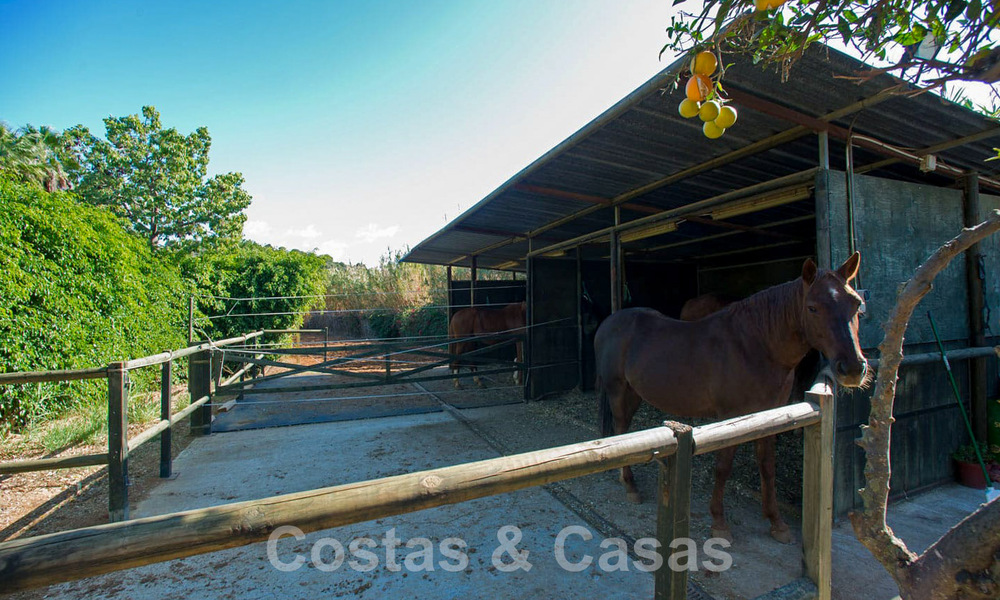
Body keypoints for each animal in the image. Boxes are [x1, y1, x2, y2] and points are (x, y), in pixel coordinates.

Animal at [592, 253, 868, 544]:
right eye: (813, 308)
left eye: (856, 304)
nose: (852, 368)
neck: (755, 346)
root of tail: (609, 323)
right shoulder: (730, 416)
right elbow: (723, 467)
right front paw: (719, 522)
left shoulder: (771, 415)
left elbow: (767, 466)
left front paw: (777, 523)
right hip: (618, 389)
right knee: (620, 425)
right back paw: (630, 485)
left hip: (634, 392)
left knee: (623, 429)